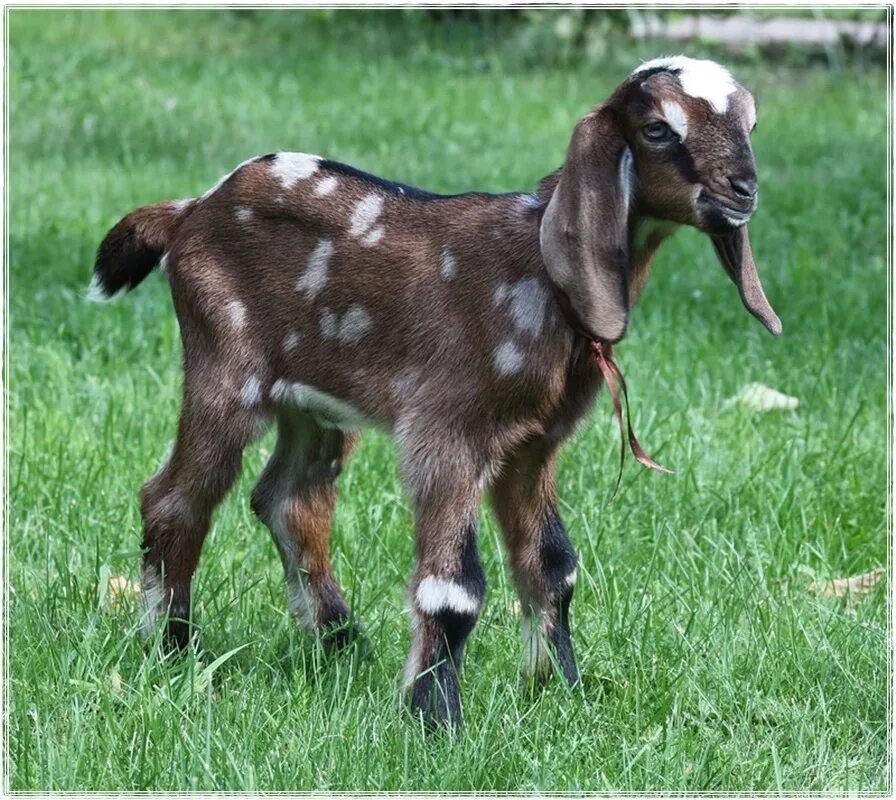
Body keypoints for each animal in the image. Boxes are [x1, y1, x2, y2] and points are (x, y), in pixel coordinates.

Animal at [87, 56, 780, 728]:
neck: (538, 270)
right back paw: (173, 647)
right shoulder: (448, 432)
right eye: (658, 128)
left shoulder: (533, 447)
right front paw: (435, 718)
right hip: (225, 372)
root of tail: (188, 211)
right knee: (175, 499)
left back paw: (342, 644)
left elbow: (554, 566)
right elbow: (454, 589)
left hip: (315, 405)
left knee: (289, 499)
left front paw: (559, 693)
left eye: (750, 123)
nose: (744, 190)